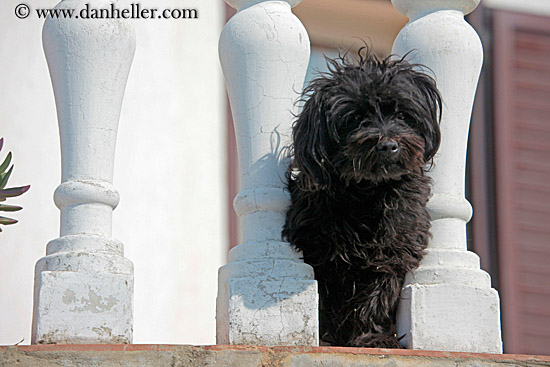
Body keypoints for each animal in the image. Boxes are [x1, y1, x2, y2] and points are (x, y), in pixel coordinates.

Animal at [284, 50, 444, 350]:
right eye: (356, 118)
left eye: (401, 114)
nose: (389, 145)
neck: (369, 193)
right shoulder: (319, 253)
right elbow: (324, 302)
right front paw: (325, 339)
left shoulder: (394, 252)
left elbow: (378, 296)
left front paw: (373, 338)